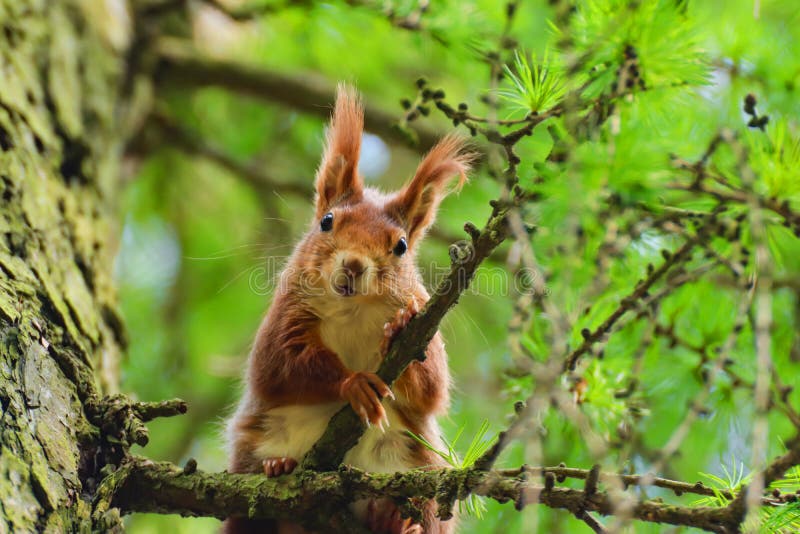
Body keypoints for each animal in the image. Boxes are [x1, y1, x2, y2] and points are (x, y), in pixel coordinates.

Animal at [222, 86, 472, 532]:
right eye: (326, 221)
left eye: (401, 245)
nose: (354, 265)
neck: (355, 308)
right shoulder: (287, 315)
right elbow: (278, 366)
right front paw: (353, 383)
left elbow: (430, 390)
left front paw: (401, 324)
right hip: (249, 457)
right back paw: (277, 467)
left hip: (422, 467)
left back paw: (396, 520)